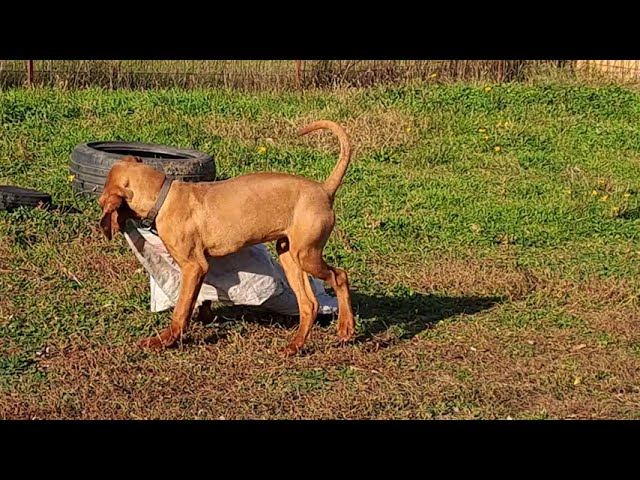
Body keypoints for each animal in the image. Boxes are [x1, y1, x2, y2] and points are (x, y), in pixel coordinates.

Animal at [99, 120, 356, 354]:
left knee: (340, 276)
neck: (164, 196)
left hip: (306, 255)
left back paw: (345, 328)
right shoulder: (203, 265)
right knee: (309, 303)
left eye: (102, 201)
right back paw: (295, 345)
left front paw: (165, 340)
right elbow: (202, 297)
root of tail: (324, 189)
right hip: (289, 255)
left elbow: (181, 309)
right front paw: (205, 317)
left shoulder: (193, 266)